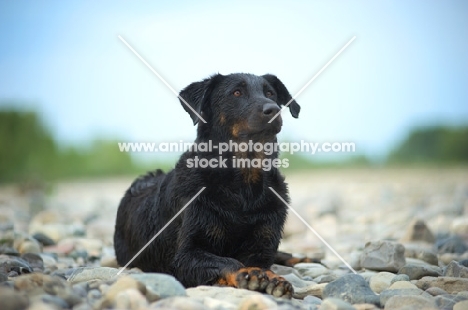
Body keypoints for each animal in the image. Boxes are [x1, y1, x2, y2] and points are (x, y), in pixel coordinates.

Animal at [114, 72, 304, 298]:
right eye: (236, 92)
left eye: (270, 93)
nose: (273, 109)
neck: (243, 187)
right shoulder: (185, 256)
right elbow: (228, 261)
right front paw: (249, 273)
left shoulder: (263, 244)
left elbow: (265, 262)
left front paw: (274, 277)